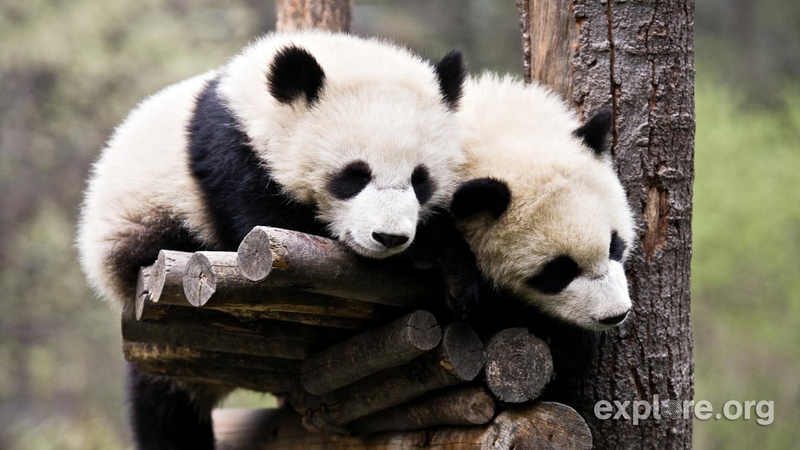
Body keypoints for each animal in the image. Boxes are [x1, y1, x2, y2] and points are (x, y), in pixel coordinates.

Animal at [76, 31, 466, 449]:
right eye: (354, 175)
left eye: (420, 179)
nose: (389, 237)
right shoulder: (231, 155)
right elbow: (268, 222)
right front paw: (439, 249)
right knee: (165, 404)